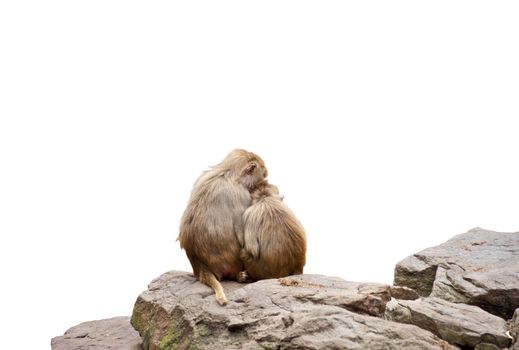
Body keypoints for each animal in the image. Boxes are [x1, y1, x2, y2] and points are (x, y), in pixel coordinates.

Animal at [178, 149, 268, 304]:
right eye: (262, 175)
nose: (265, 180)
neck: (228, 172)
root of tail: (200, 265)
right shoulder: (241, 195)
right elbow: (243, 236)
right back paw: (241, 276)